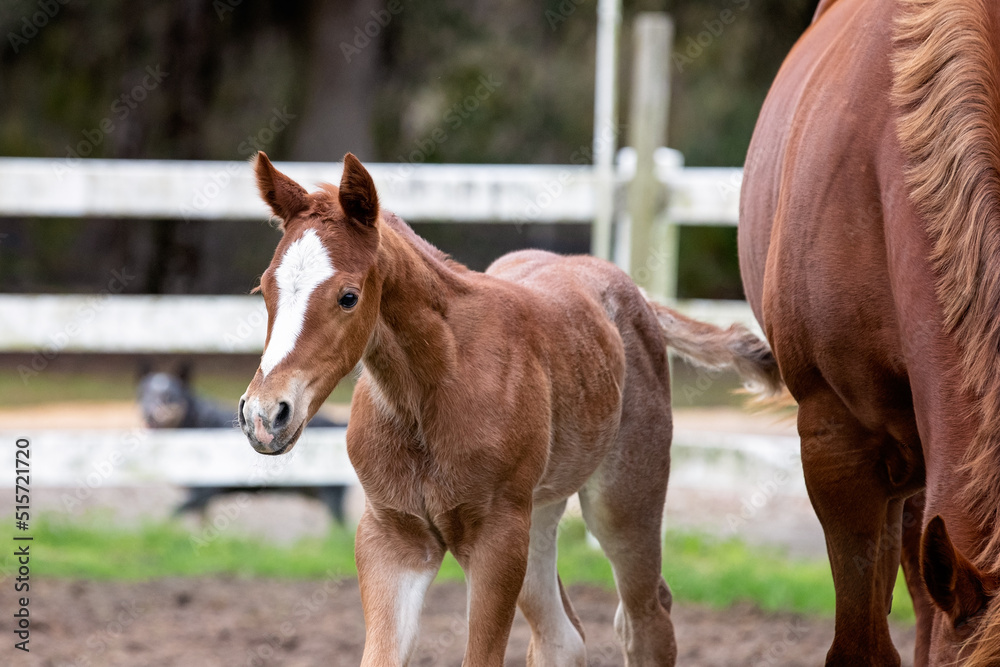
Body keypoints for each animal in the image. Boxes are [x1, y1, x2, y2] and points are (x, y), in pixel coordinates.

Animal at [238, 151, 782, 666]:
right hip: (539, 514)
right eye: (263, 289)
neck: (429, 394)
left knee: (644, 618)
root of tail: (635, 294)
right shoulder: (392, 537)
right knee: (563, 638)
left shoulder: (496, 538)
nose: (264, 416)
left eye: (348, 297)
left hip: (623, 501)